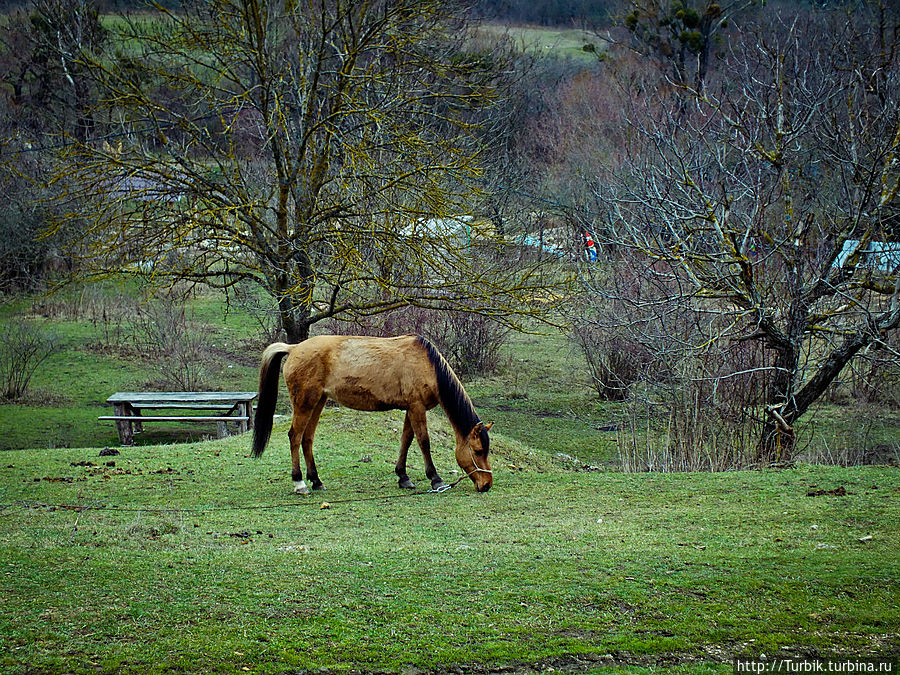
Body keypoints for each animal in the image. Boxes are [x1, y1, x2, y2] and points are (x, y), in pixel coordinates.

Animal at [251, 336, 492, 494]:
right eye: (478, 451)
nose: (487, 484)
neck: (427, 364)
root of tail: (293, 348)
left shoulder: (411, 408)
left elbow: (406, 440)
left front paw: (403, 477)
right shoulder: (416, 407)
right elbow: (423, 441)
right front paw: (435, 479)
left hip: (318, 402)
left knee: (307, 438)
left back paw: (316, 481)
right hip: (304, 403)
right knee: (295, 436)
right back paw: (299, 482)